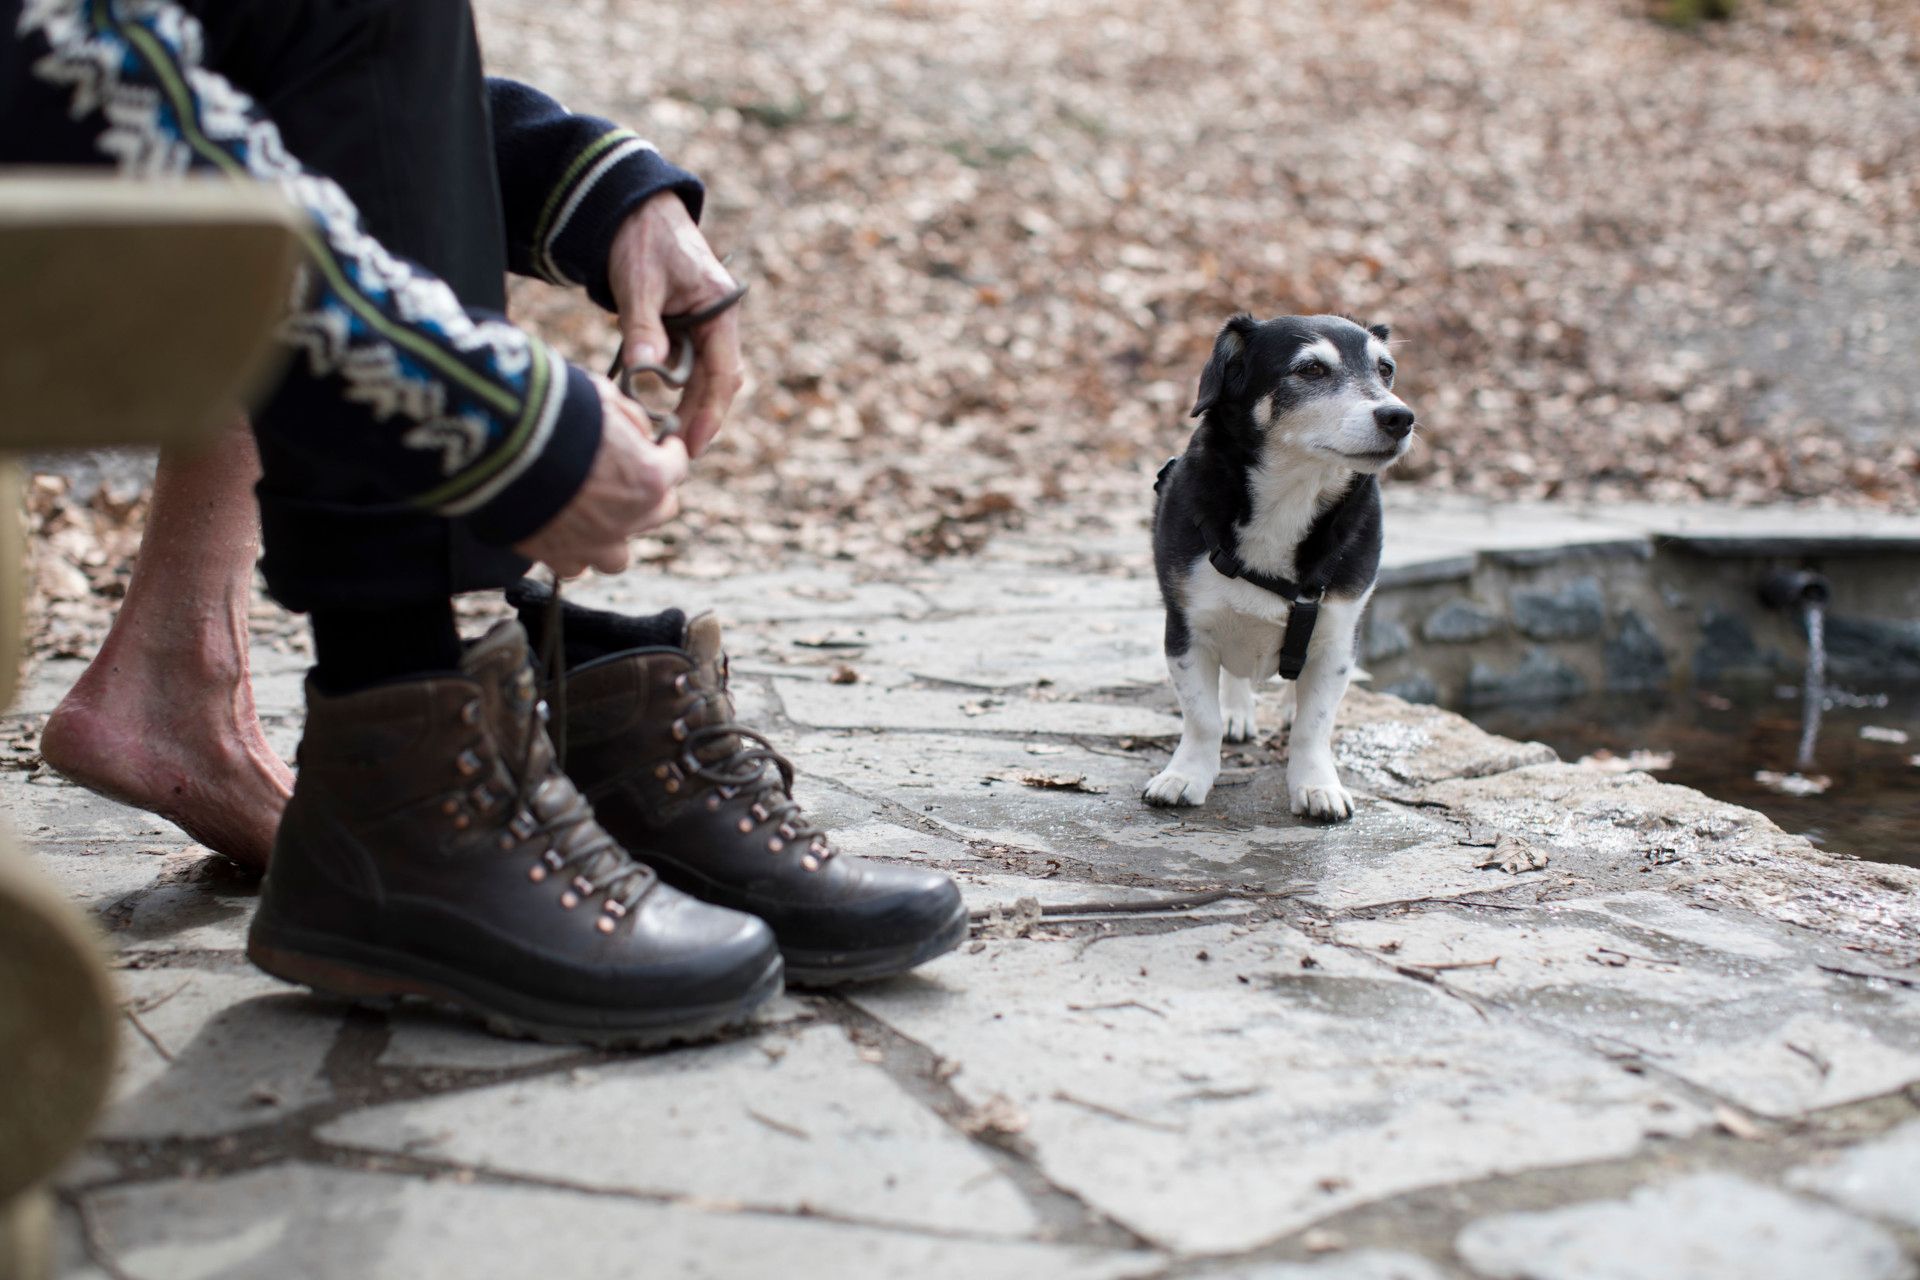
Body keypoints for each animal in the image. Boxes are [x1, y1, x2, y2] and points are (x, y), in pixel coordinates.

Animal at [1144, 314, 1420, 825]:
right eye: (1310, 369)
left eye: (1386, 369)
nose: (1400, 417)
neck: (1291, 497)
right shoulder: (1186, 630)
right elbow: (1202, 718)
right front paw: (1186, 775)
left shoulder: (1337, 638)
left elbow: (1315, 726)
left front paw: (1316, 784)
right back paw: (1238, 710)